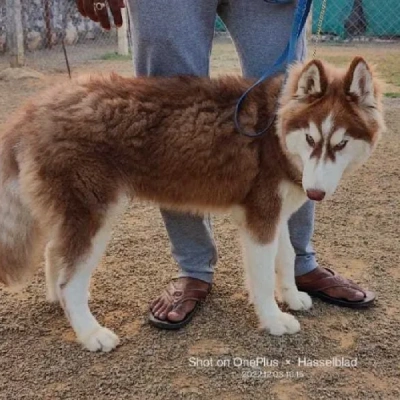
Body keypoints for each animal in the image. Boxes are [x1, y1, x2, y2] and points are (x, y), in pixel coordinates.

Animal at [0, 57, 384, 352]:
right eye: (310, 139)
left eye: (341, 143)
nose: (315, 193)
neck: (273, 130)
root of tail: (34, 109)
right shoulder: (260, 219)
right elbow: (261, 277)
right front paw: (273, 319)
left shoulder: (276, 215)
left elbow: (287, 259)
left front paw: (291, 296)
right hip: (96, 214)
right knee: (71, 280)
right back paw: (90, 332)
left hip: (77, 213)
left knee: (54, 251)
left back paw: (56, 299)